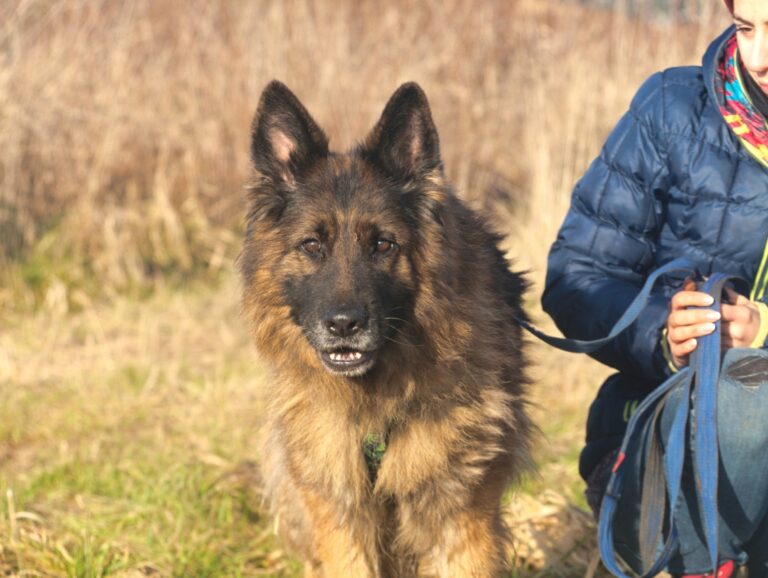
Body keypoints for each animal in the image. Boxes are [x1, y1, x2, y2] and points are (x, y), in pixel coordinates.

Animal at [240, 81, 536, 576]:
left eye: (383, 244)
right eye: (312, 245)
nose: (344, 325)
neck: (375, 404)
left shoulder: (460, 521)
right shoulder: (341, 520)